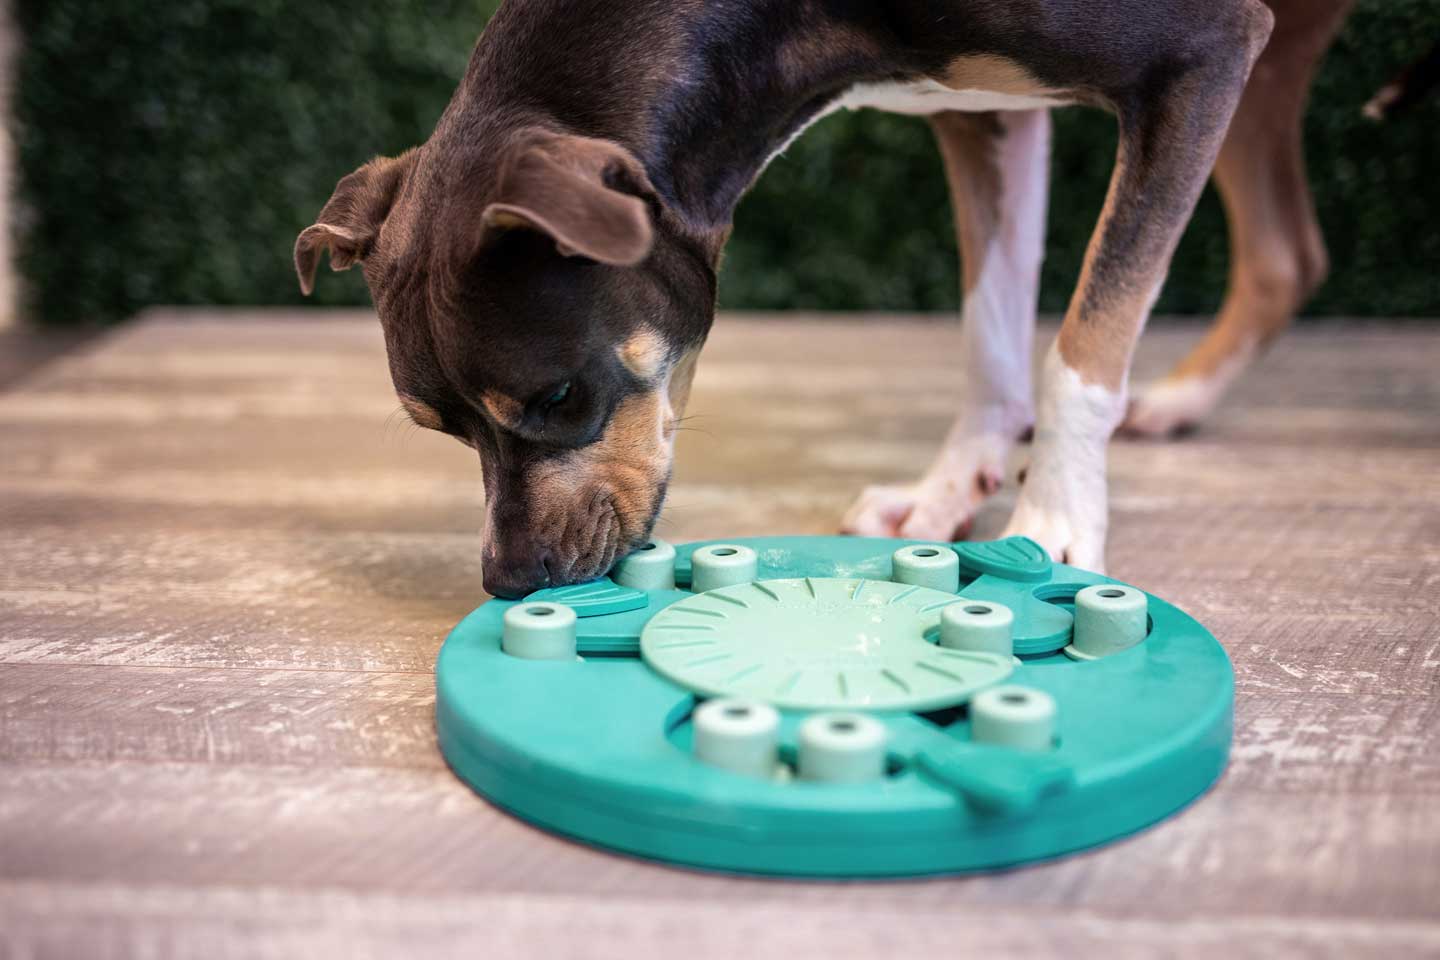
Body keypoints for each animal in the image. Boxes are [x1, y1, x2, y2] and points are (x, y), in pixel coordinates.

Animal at [298, 0, 1353, 595]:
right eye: (443, 432)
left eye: (559, 398)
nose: (509, 580)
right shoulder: (987, 110)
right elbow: (990, 325)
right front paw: (951, 486)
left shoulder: (1201, 54)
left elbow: (1087, 340)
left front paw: (1053, 515)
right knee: (1285, 255)